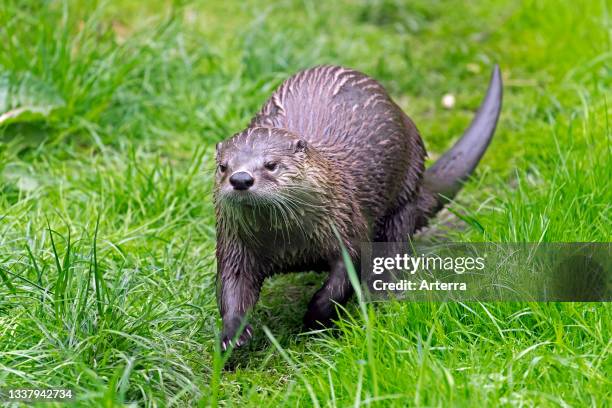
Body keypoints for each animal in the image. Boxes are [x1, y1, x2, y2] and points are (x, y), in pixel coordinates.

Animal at [215, 64, 502, 350]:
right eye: (223, 166)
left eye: (271, 164)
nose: (240, 179)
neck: (289, 243)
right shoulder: (234, 246)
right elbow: (232, 286)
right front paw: (233, 332)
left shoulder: (347, 224)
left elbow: (343, 278)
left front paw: (315, 318)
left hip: (405, 195)